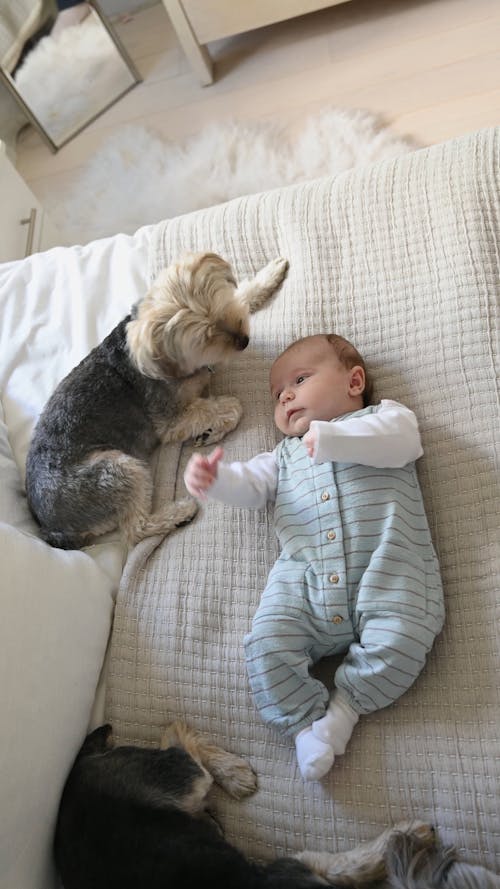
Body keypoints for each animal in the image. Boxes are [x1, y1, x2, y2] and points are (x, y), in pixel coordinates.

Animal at [26, 250, 286, 552]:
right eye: (205, 338)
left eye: (223, 307)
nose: (244, 340)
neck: (168, 362)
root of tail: (51, 530)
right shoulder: (169, 419)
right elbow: (230, 407)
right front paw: (215, 425)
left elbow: (244, 294)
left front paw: (269, 275)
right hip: (117, 470)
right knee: (134, 531)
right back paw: (180, 513)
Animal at [54, 720, 438, 888]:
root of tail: (80, 764)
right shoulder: (296, 867)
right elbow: (349, 864)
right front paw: (408, 837)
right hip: (177, 774)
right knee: (176, 734)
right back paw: (234, 773)